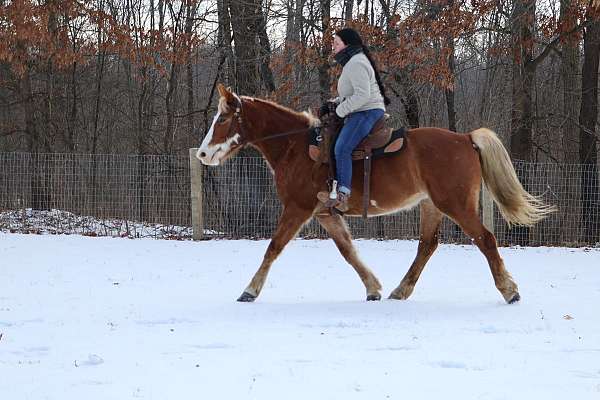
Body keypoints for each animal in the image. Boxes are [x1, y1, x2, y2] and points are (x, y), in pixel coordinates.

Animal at [199, 83, 556, 304]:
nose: (203, 154)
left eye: (224, 118)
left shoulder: (297, 208)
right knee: (427, 245)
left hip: (456, 205)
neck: (297, 146)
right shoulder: (325, 213)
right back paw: (401, 290)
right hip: (432, 205)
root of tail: (466, 138)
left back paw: (509, 290)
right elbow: (348, 251)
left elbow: (273, 247)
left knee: (485, 239)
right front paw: (373, 287)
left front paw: (249, 290)